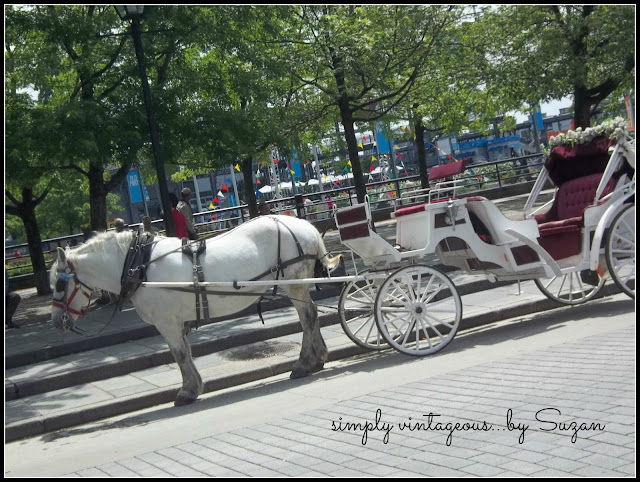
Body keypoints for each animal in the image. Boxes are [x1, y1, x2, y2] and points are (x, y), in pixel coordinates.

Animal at [51, 217, 340, 404]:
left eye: (58, 285)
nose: (56, 323)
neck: (138, 265)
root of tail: (306, 226)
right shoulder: (177, 322)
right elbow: (186, 353)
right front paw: (195, 386)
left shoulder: (166, 322)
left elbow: (179, 354)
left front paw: (187, 391)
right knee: (311, 315)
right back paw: (317, 358)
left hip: (295, 283)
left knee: (307, 318)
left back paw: (304, 363)